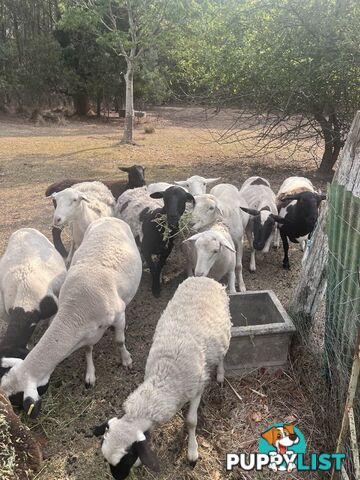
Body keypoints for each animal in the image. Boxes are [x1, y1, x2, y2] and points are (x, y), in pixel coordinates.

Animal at [94, 276, 232, 478]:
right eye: (106, 459)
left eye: (128, 456)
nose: (118, 477)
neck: (164, 377)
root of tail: (204, 277)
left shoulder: (197, 389)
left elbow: (191, 421)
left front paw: (192, 452)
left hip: (225, 330)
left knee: (222, 355)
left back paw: (221, 374)